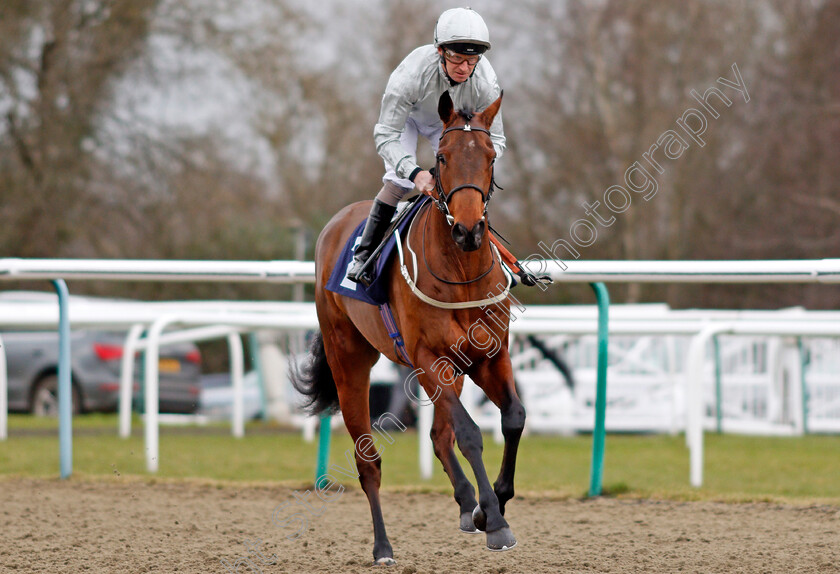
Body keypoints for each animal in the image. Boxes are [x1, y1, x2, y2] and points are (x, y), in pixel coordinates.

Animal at [292, 91, 520, 568]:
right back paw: (383, 547)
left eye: (490, 156)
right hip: (350, 360)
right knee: (368, 460)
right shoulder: (429, 358)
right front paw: (494, 520)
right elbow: (470, 434)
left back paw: (465, 502)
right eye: (442, 157)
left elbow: (513, 418)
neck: (461, 272)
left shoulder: (490, 356)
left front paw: (493, 504)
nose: (468, 230)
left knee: (437, 435)